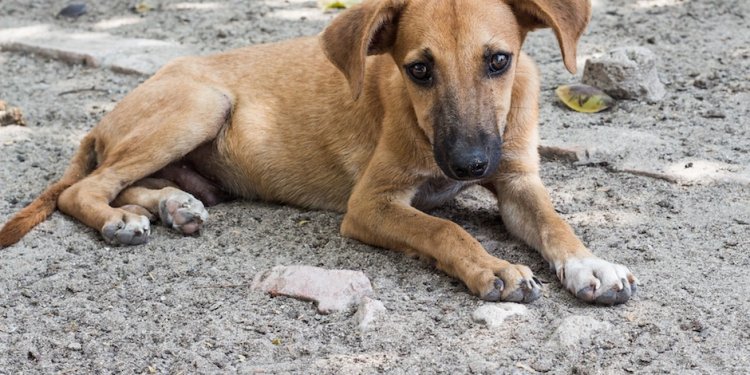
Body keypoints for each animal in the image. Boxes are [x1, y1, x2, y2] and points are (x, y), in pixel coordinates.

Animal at [0, 0, 636, 306]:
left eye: (499, 60)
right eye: (419, 70)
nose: (468, 165)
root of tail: (103, 118)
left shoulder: (519, 180)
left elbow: (556, 224)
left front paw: (591, 264)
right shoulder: (371, 204)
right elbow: (444, 229)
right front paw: (494, 267)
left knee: (128, 182)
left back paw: (173, 206)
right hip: (201, 103)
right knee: (87, 188)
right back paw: (120, 221)